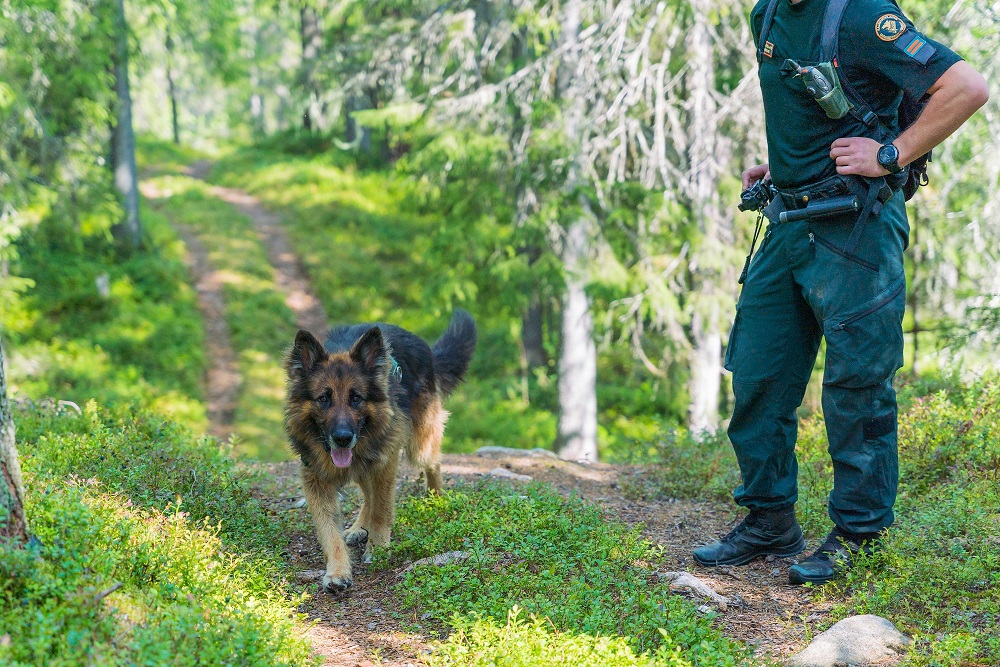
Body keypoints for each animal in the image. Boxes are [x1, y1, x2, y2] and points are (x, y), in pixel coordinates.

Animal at [286, 310, 476, 592]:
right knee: (368, 494)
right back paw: (358, 527)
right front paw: (338, 572)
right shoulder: (317, 480)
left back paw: (436, 496)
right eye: (324, 398)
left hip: (416, 447)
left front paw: (377, 548)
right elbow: (329, 531)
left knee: (432, 463)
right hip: (366, 463)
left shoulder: (385, 462)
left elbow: (382, 508)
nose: (343, 439)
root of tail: (426, 348)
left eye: (356, 398)